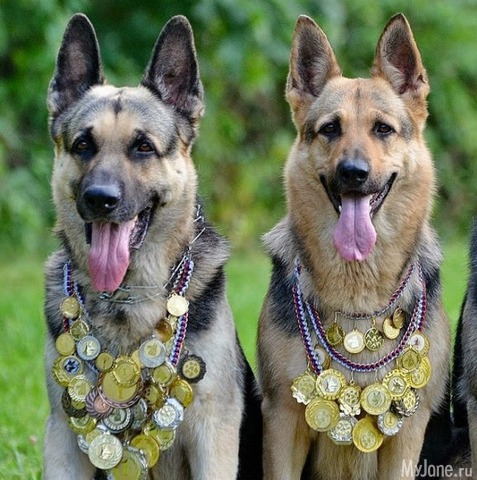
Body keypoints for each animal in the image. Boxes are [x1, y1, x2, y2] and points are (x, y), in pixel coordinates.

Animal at [43, 13, 261, 480]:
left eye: (143, 147)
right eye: (83, 144)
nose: (100, 199)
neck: (127, 295)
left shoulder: (213, 434)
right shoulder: (63, 440)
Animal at [257, 13, 450, 480]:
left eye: (383, 129)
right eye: (331, 129)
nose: (353, 172)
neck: (358, 295)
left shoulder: (407, 430)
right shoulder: (282, 421)